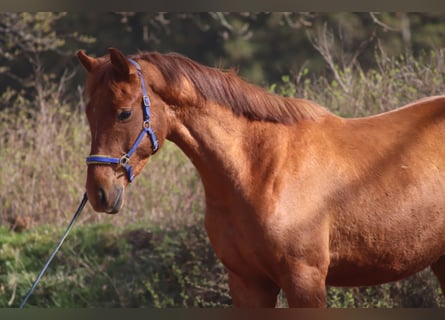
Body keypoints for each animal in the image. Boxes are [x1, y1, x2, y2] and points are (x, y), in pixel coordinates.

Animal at [78, 47, 444, 308]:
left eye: (124, 113)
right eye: (88, 112)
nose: (99, 192)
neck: (260, 170)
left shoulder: (305, 281)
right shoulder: (248, 283)